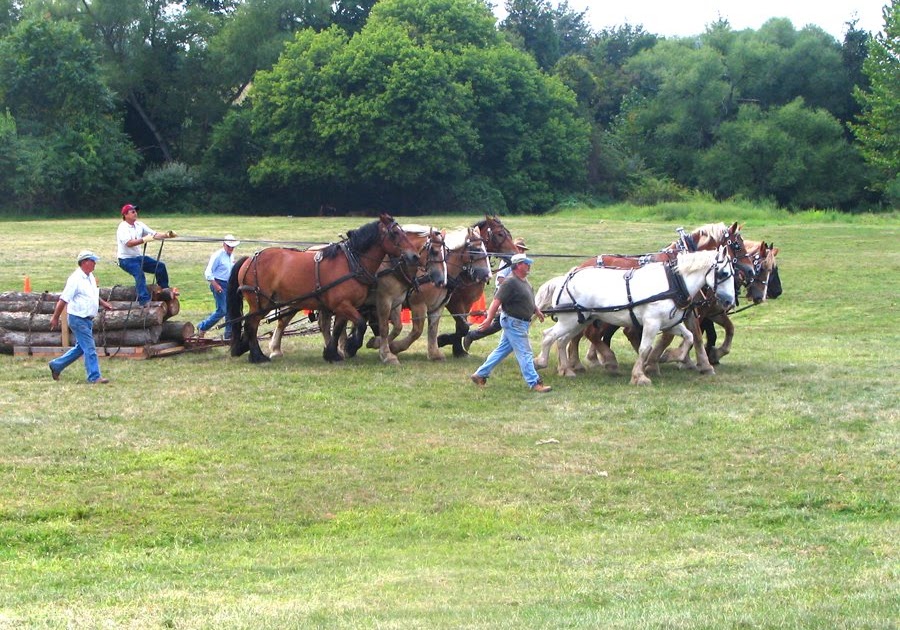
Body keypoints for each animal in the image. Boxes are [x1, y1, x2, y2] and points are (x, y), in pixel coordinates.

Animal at [226, 214, 422, 363]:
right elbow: (360, 324)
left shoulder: (344, 306)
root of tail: (250, 259)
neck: (352, 262)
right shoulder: (343, 304)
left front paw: (332, 353)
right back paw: (257, 356)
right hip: (260, 303)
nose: (415, 256)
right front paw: (350, 346)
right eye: (395, 233)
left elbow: (337, 329)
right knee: (251, 325)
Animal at [542, 222, 754, 376]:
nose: (750, 270)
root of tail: (576, 268)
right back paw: (602, 361)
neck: (677, 274)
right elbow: (671, 337)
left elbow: (695, 336)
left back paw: (575, 364)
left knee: (577, 336)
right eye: (737, 244)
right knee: (585, 335)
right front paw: (659, 361)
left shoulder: (687, 311)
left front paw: (699, 363)